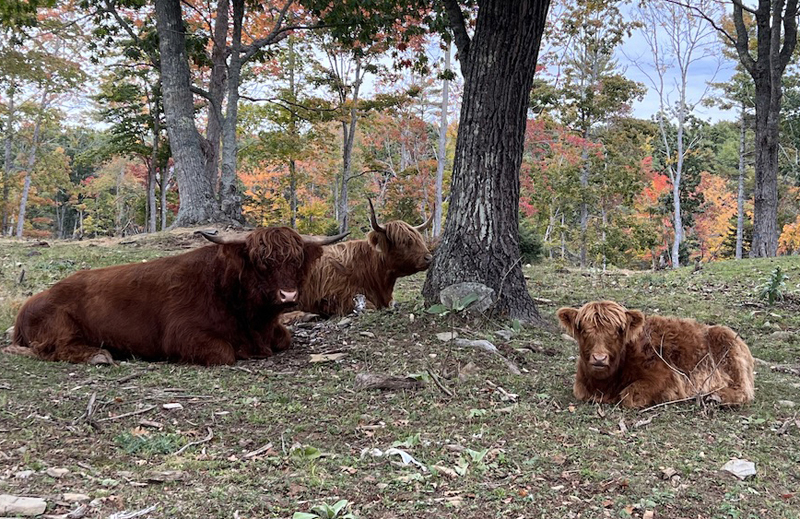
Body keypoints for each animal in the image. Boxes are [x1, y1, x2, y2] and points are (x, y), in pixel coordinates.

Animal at [7, 226, 346, 366]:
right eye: (262, 262)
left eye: (297, 261)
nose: (288, 295)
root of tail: (32, 301)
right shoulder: (184, 334)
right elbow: (224, 353)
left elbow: (285, 338)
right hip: (58, 324)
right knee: (49, 347)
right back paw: (99, 355)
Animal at [556, 302, 756, 408]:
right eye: (583, 330)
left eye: (618, 331)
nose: (599, 358)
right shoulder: (581, 385)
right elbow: (580, 391)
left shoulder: (663, 377)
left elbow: (629, 395)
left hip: (730, 355)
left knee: (742, 390)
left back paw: (714, 396)